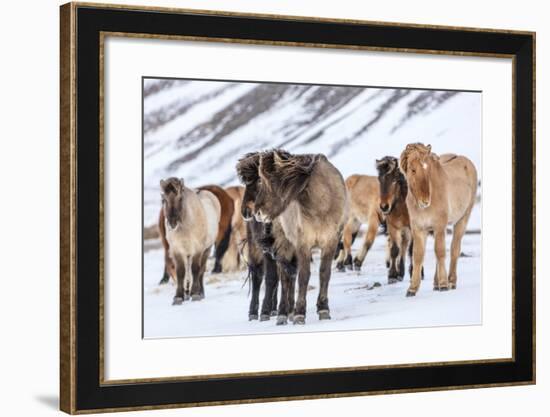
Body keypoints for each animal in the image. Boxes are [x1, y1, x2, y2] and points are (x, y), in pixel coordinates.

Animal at [238, 150, 350, 324]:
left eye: (261, 182)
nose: (252, 212)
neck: (321, 206)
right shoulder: (302, 244)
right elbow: (303, 276)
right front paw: (299, 313)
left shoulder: (330, 242)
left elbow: (324, 273)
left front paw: (323, 309)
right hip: (267, 247)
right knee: (266, 277)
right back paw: (269, 312)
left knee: (285, 277)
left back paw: (283, 310)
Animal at [402, 143, 478, 296]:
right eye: (413, 169)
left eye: (428, 169)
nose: (425, 201)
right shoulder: (419, 229)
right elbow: (418, 256)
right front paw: (412, 288)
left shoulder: (439, 226)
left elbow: (440, 252)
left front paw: (444, 284)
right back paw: (436, 283)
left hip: (462, 219)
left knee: (454, 249)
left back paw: (451, 281)